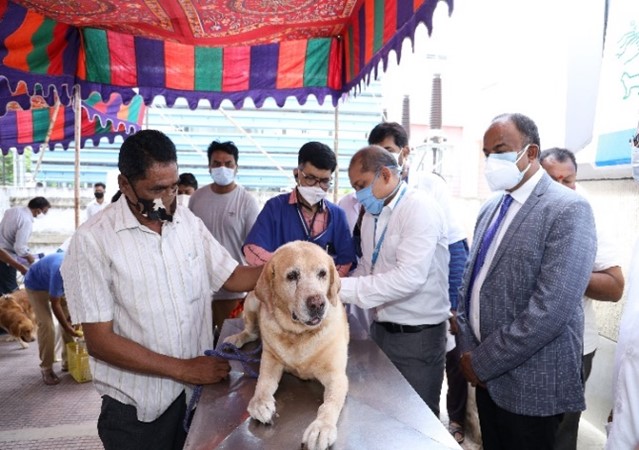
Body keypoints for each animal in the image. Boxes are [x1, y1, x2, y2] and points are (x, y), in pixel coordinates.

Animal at [222, 243, 348, 450]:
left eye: (322, 273)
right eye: (292, 276)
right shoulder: (270, 360)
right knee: (251, 331)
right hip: (252, 302)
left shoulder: (336, 376)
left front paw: (321, 427)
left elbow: (329, 404)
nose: (318, 303)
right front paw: (260, 402)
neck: (298, 334)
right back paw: (235, 339)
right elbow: (264, 383)